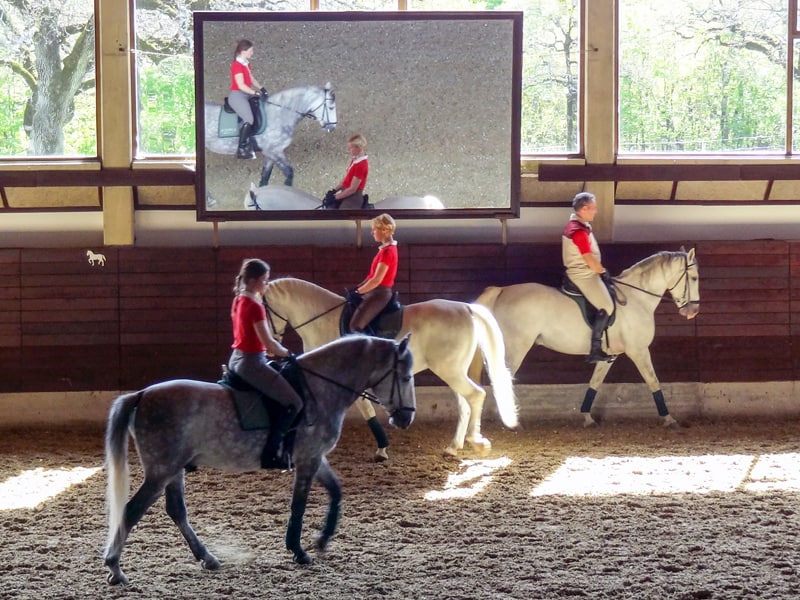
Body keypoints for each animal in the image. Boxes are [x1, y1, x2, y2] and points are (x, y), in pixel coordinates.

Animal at [205, 84, 336, 188]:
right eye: (331, 107)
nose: (332, 127)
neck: (279, 113)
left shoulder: (270, 153)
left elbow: (265, 177)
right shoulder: (274, 151)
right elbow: (289, 173)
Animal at [262, 276, 520, 454]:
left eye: (262, 310)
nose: (269, 346)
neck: (322, 320)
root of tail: (466, 308)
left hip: (450, 370)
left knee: (475, 396)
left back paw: (475, 442)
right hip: (454, 371)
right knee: (465, 402)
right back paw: (454, 446)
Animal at [472, 247, 696, 426]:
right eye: (694, 278)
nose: (693, 311)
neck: (637, 299)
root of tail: (502, 290)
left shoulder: (609, 356)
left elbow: (595, 382)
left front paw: (587, 418)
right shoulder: (639, 351)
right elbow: (653, 381)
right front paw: (669, 419)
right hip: (517, 346)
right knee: (502, 377)